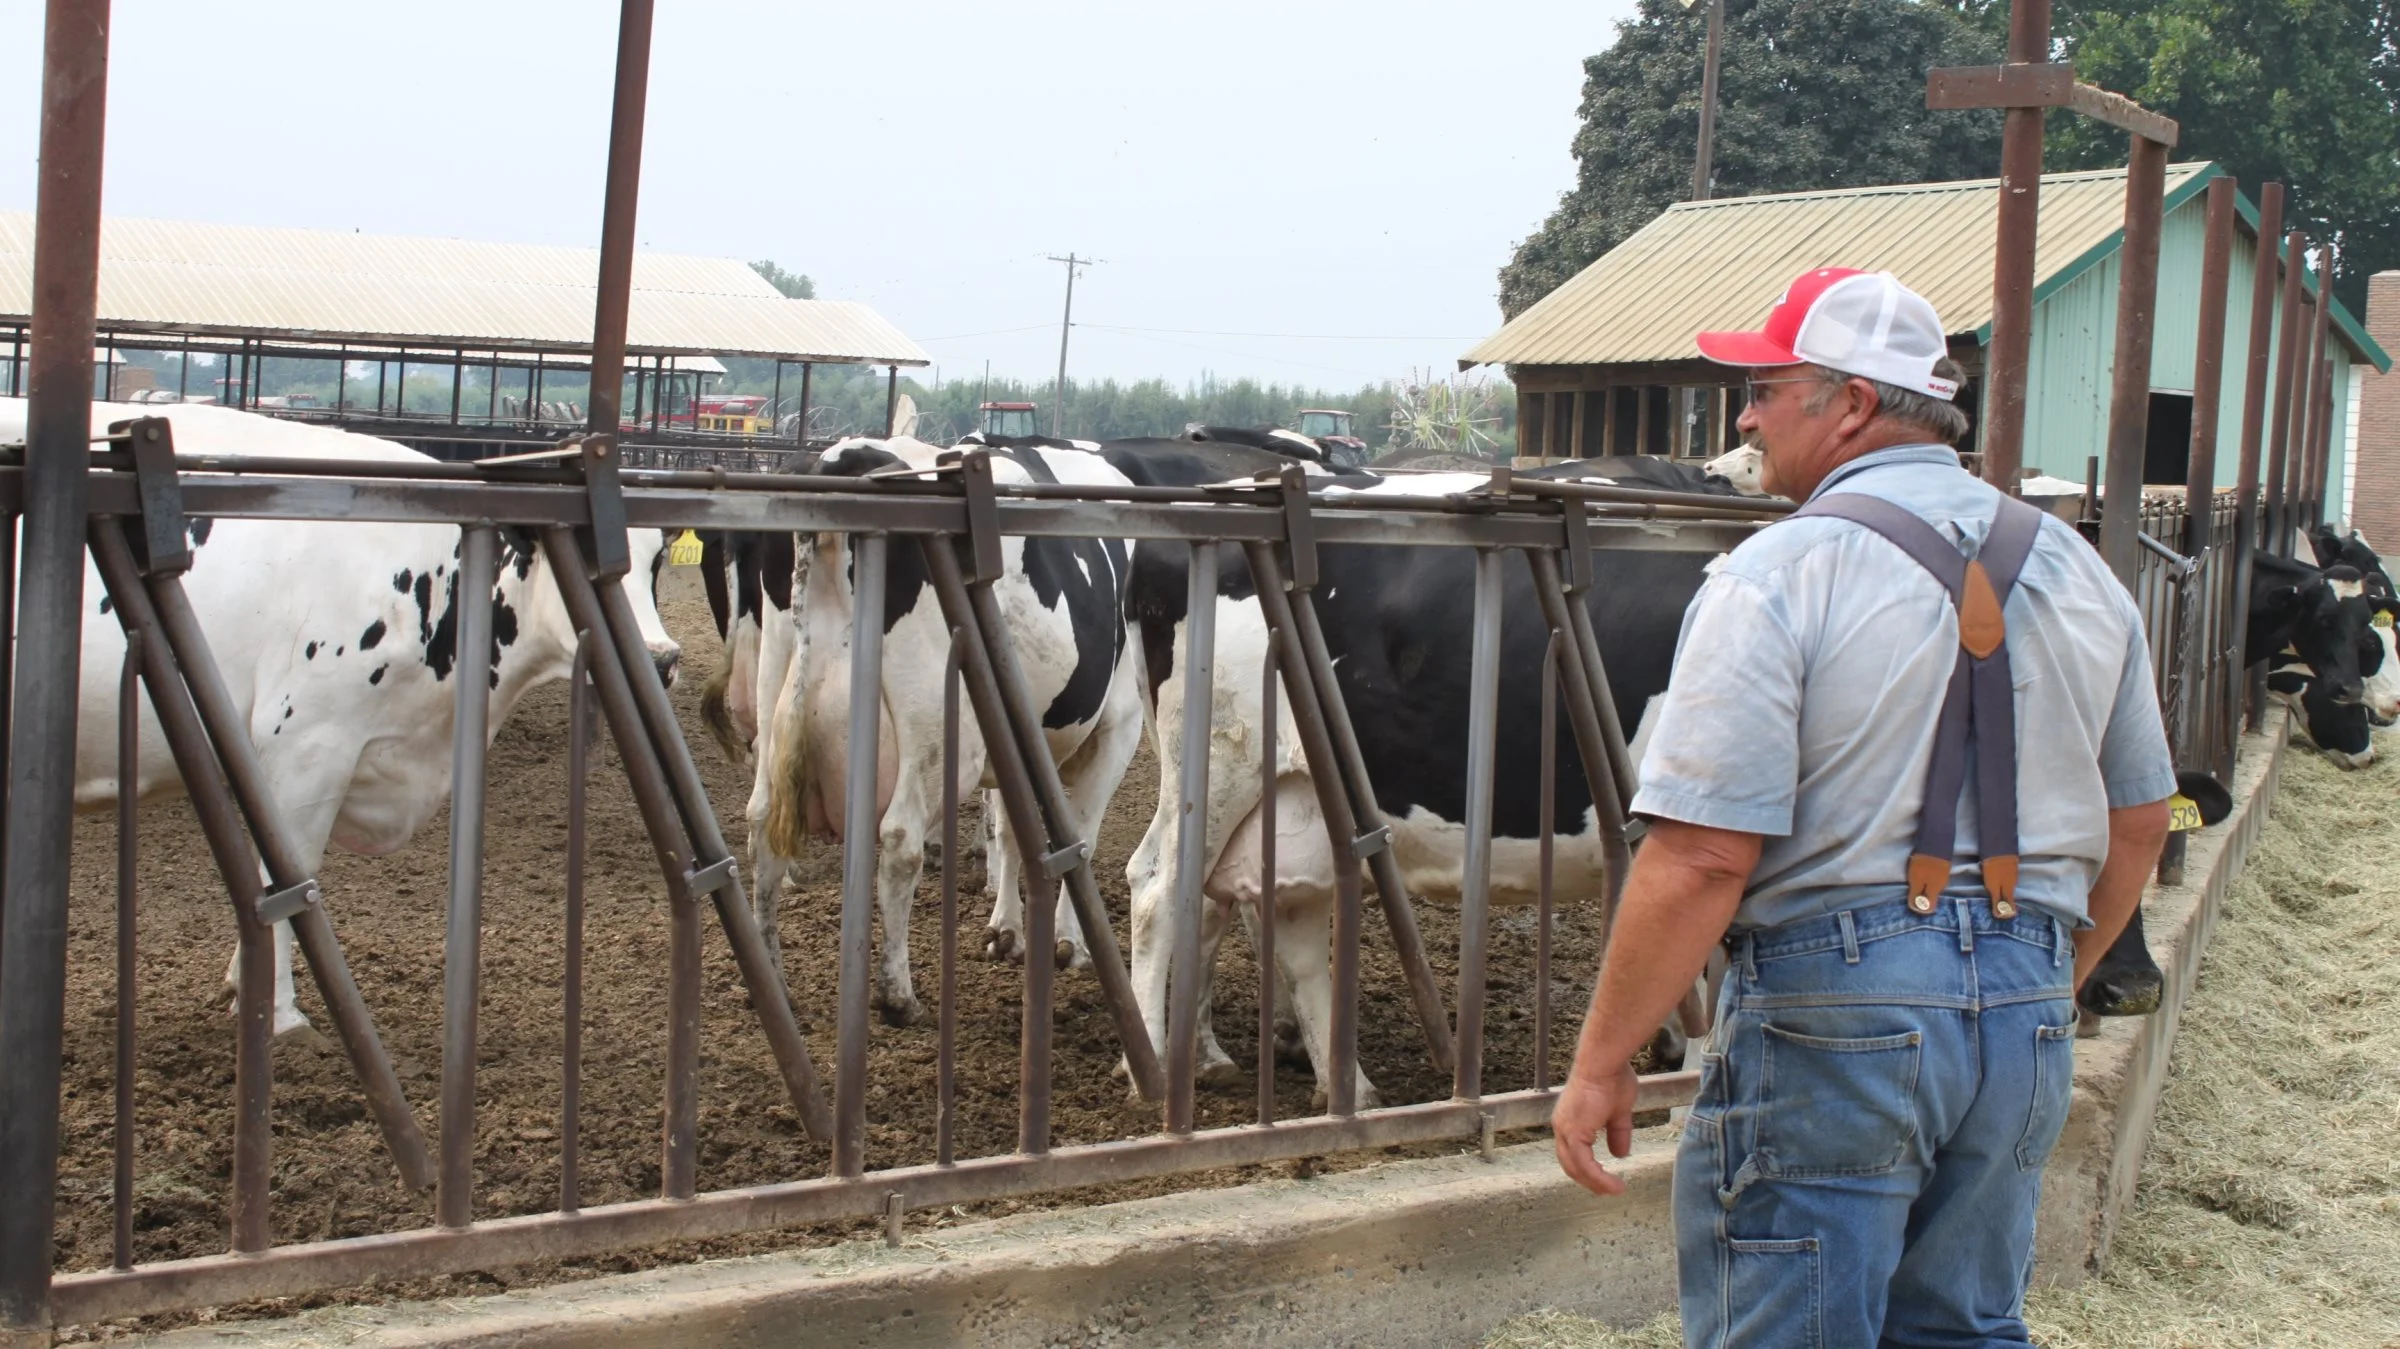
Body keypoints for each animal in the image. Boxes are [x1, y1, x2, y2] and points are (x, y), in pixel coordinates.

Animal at [0, 393, 681, 1032]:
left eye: (654, 562)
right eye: (587, 561)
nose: (663, 659)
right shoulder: (307, 743)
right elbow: (289, 874)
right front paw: (276, 1012)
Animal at [758, 436, 1152, 1012]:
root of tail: (847, 454)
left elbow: (1012, 831)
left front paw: (1007, 931)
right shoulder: (1118, 726)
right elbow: (1079, 835)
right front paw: (1067, 942)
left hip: (778, 698)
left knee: (762, 822)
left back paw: (772, 983)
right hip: (940, 737)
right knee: (900, 837)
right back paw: (897, 992)